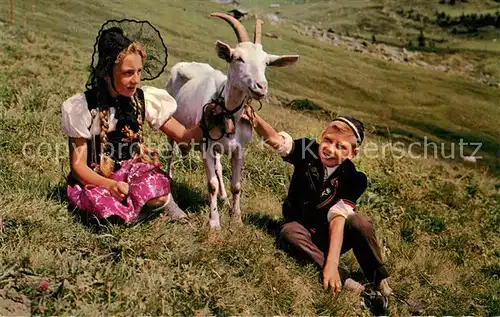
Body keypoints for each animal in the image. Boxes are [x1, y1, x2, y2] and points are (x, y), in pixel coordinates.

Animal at [166, 12, 298, 228]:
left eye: (266, 63)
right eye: (238, 58)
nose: (261, 87)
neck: (227, 112)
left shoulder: (239, 150)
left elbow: (236, 185)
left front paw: (236, 218)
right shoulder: (207, 147)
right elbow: (210, 184)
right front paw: (214, 222)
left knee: (219, 167)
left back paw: (224, 197)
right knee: (170, 150)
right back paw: (169, 177)